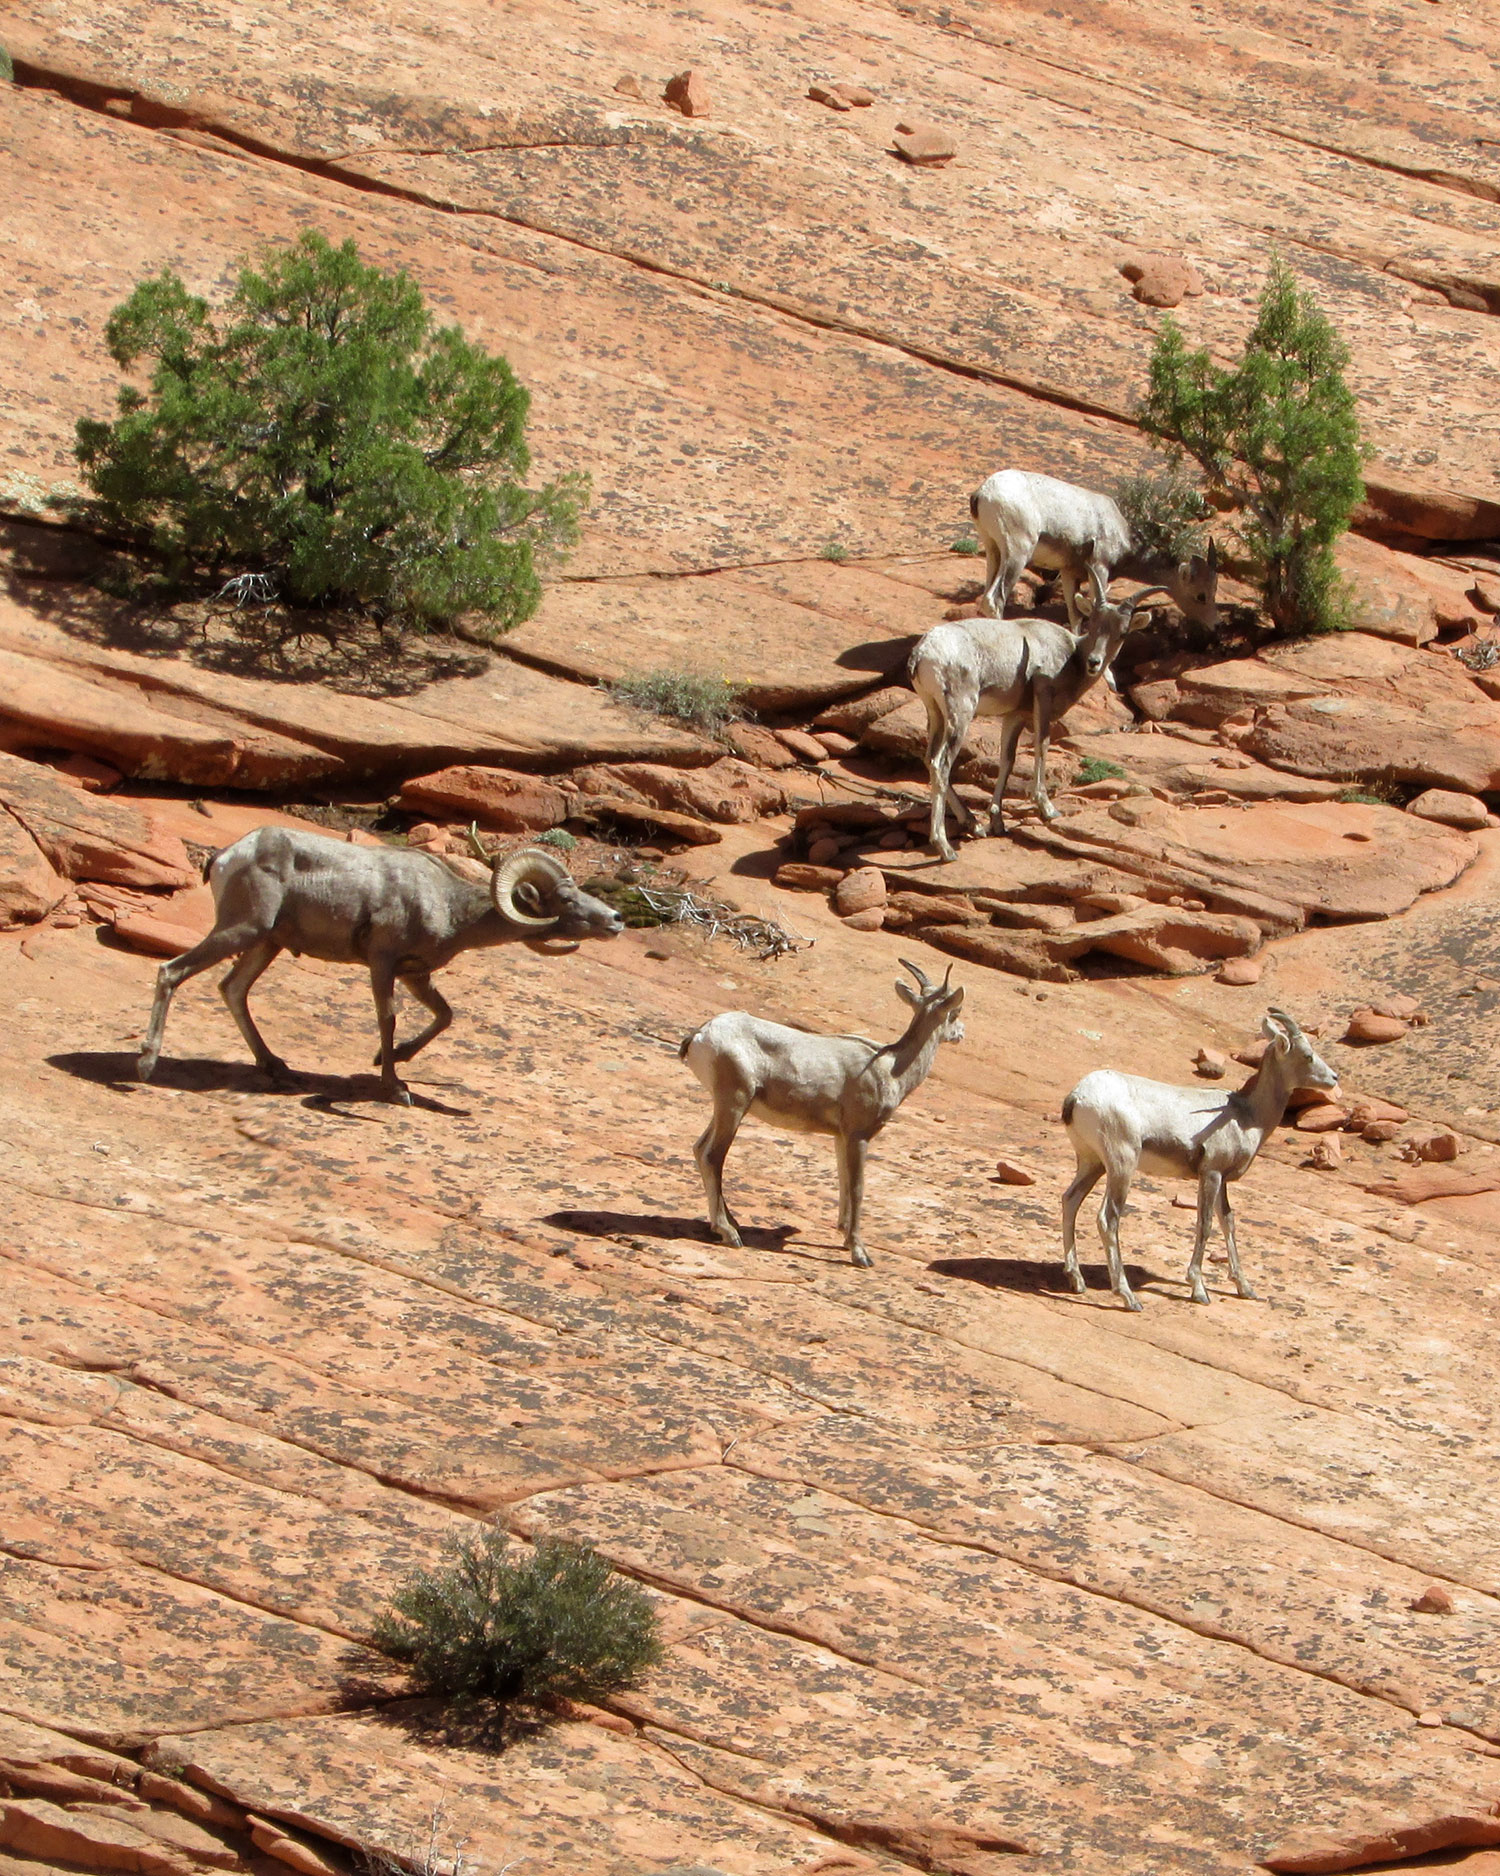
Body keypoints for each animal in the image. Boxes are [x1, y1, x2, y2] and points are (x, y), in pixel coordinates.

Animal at [137, 829, 623, 1103]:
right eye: (565, 899)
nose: (616, 920)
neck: (447, 904)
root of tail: (226, 855)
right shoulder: (383, 964)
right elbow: (387, 1019)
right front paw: (394, 1088)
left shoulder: (416, 974)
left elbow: (445, 1016)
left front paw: (391, 1062)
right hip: (242, 931)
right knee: (171, 972)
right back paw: (145, 1067)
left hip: (265, 943)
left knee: (233, 989)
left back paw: (275, 1067)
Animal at [679, 958, 966, 1267]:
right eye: (954, 1012)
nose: (961, 1033)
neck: (890, 1068)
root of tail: (701, 1034)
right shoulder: (858, 1136)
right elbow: (857, 1188)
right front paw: (860, 1253)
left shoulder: (841, 1137)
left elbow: (843, 1181)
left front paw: (845, 1236)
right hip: (733, 1106)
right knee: (713, 1156)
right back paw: (730, 1233)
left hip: (725, 1109)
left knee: (700, 1149)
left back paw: (726, 1224)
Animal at [910, 571, 1162, 861]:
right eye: (1093, 623)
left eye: (1122, 632)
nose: (1094, 662)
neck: (1071, 654)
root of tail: (923, 652)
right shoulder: (1043, 699)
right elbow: (1042, 745)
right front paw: (1048, 808)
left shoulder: (1014, 717)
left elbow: (1007, 761)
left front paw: (997, 822)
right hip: (960, 715)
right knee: (941, 765)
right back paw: (946, 848)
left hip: (935, 714)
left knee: (930, 760)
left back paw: (973, 825)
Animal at [969, 468, 1219, 631]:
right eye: (1201, 595)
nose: (1214, 625)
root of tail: (984, 492)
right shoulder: (1100, 569)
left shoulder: (1069, 574)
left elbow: (1075, 615)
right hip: (1018, 554)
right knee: (995, 600)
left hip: (994, 552)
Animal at [1059, 1009, 1338, 1311]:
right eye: (1307, 1055)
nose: (1334, 1078)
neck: (1246, 1114)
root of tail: (1078, 1096)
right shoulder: (1211, 1174)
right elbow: (1205, 1224)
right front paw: (1199, 1290)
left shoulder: (1221, 1179)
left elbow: (1228, 1221)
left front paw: (1245, 1288)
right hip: (1121, 1167)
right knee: (1108, 1218)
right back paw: (1128, 1297)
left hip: (1093, 1163)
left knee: (1070, 1200)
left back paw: (1077, 1281)